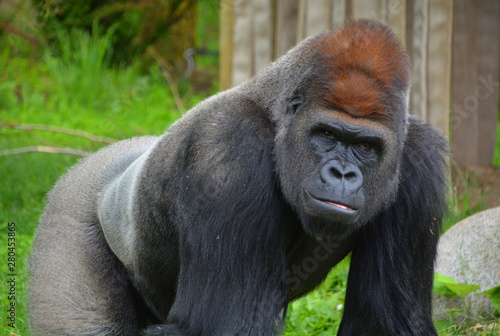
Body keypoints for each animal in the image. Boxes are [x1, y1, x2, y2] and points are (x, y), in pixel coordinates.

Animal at [29, 20, 448, 336]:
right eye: (327, 135)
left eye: (365, 146)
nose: (342, 173)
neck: (274, 112)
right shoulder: (230, 142)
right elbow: (224, 324)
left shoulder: (418, 158)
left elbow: (382, 324)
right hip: (69, 208)